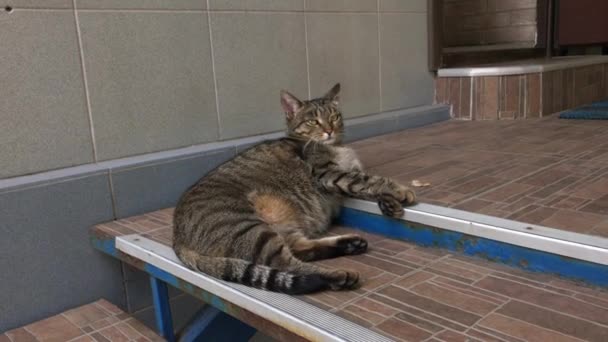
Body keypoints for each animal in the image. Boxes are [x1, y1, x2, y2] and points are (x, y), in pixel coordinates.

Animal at [173, 83, 416, 294]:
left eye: (334, 117)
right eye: (313, 121)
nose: (329, 130)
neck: (336, 146)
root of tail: (177, 237)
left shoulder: (346, 176)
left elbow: (366, 186)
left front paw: (390, 204)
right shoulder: (329, 174)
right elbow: (369, 180)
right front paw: (401, 190)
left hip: (281, 224)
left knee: (299, 248)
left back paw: (350, 244)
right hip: (248, 228)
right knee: (287, 264)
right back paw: (337, 275)